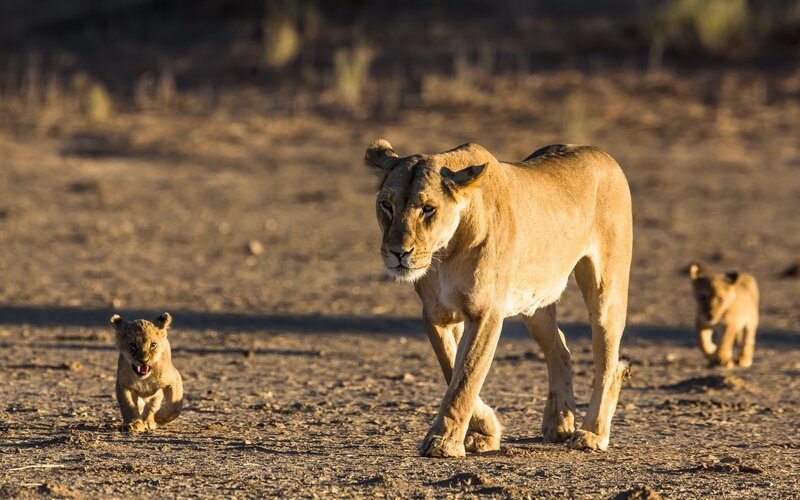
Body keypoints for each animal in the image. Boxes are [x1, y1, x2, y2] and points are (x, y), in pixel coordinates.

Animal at [366, 140, 633, 457]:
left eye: (428, 209)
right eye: (386, 205)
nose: (398, 252)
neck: (445, 251)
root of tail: (603, 154)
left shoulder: (485, 312)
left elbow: (465, 376)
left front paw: (444, 441)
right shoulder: (436, 313)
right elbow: (451, 366)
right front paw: (485, 430)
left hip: (606, 291)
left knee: (608, 363)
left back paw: (592, 433)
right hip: (536, 305)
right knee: (560, 349)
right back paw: (559, 423)